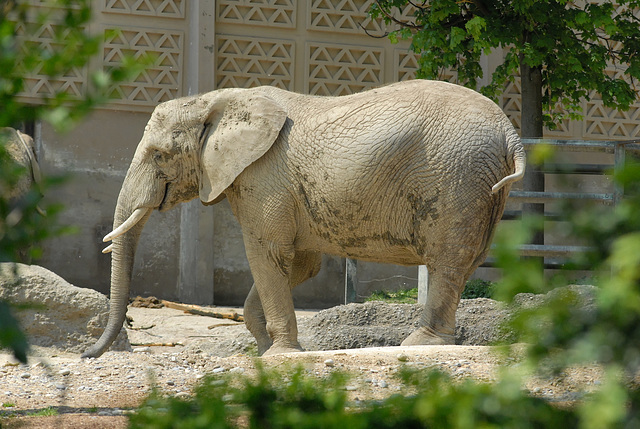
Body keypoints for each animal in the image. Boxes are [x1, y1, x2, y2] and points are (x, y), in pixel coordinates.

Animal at [82, 79, 524, 358]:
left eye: (159, 155)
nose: (88, 354)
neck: (215, 99)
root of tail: (511, 132)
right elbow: (301, 263)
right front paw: (265, 349)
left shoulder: (262, 176)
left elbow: (267, 254)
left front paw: (278, 353)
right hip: (482, 185)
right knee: (466, 261)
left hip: (457, 176)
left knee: (447, 260)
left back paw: (420, 345)